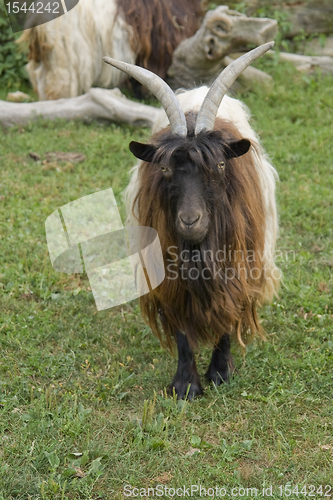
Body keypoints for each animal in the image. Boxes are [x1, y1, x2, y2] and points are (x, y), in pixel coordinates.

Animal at [103, 44, 278, 402]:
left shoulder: (237, 266)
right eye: (165, 169)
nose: (190, 221)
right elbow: (181, 325)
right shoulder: (167, 272)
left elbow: (228, 311)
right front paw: (185, 385)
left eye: (221, 165)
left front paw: (221, 373)